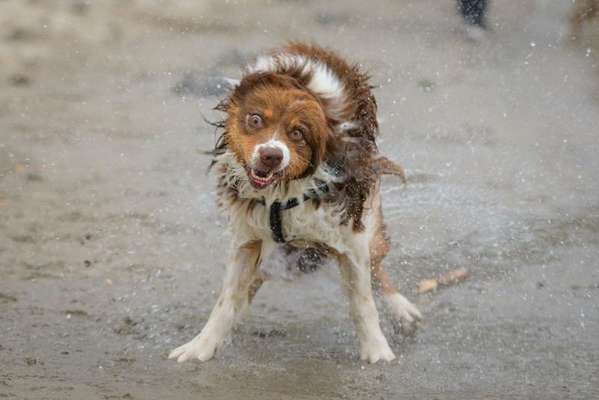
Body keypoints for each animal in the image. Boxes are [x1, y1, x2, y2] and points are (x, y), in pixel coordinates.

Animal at [169, 42, 422, 364]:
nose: (271, 156)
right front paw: (201, 346)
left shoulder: (350, 236)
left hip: (369, 223)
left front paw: (377, 351)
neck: (283, 190)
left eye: (298, 133)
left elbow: (362, 302)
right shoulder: (247, 238)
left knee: (377, 268)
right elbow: (226, 301)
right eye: (255, 119)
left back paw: (402, 310)